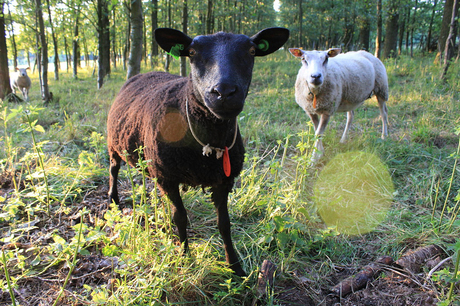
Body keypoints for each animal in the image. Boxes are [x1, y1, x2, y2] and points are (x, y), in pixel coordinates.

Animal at [106, 27, 290, 276]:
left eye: (252, 51)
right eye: (192, 52)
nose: (224, 92)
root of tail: (145, 73)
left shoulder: (224, 180)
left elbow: (224, 224)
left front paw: (235, 267)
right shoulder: (168, 177)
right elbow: (180, 217)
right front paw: (185, 257)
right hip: (115, 144)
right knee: (113, 169)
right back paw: (113, 199)